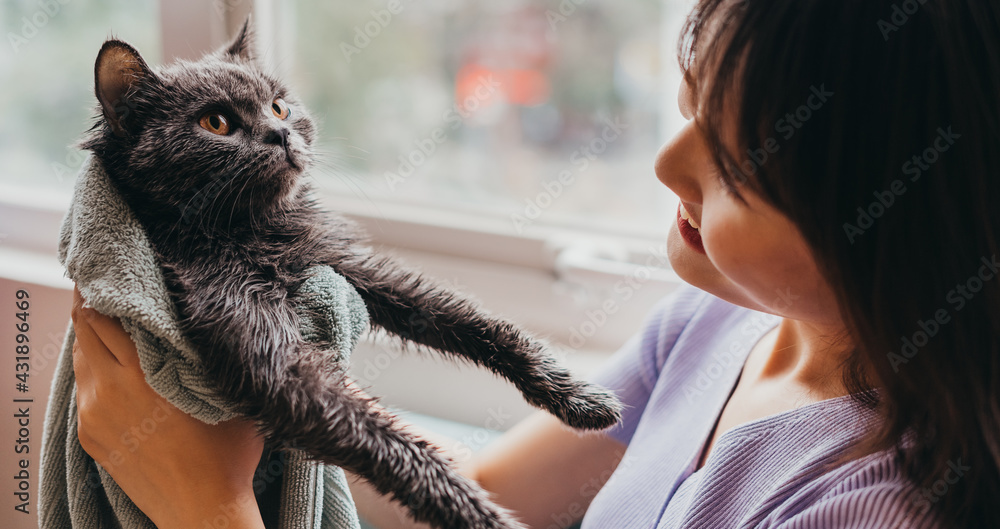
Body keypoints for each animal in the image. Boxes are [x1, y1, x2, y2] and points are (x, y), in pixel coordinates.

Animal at [82, 20, 620, 528]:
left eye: (279, 107)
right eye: (216, 122)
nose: (281, 134)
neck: (254, 233)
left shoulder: (345, 266)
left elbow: (465, 318)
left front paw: (574, 393)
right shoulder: (270, 357)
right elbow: (392, 444)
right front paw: (478, 515)